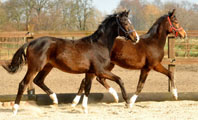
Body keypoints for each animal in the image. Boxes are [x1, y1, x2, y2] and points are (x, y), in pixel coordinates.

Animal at [2, 10, 139, 114]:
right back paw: (15, 109)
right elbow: (119, 80)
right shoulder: (100, 70)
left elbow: (87, 87)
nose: (136, 38)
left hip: (47, 67)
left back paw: (55, 99)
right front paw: (127, 102)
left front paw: (84, 108)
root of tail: (31, 42)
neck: (99, 45)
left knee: (38, 80)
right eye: (125, 22)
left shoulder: (91, 72)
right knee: (23, 84)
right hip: (35, 67)